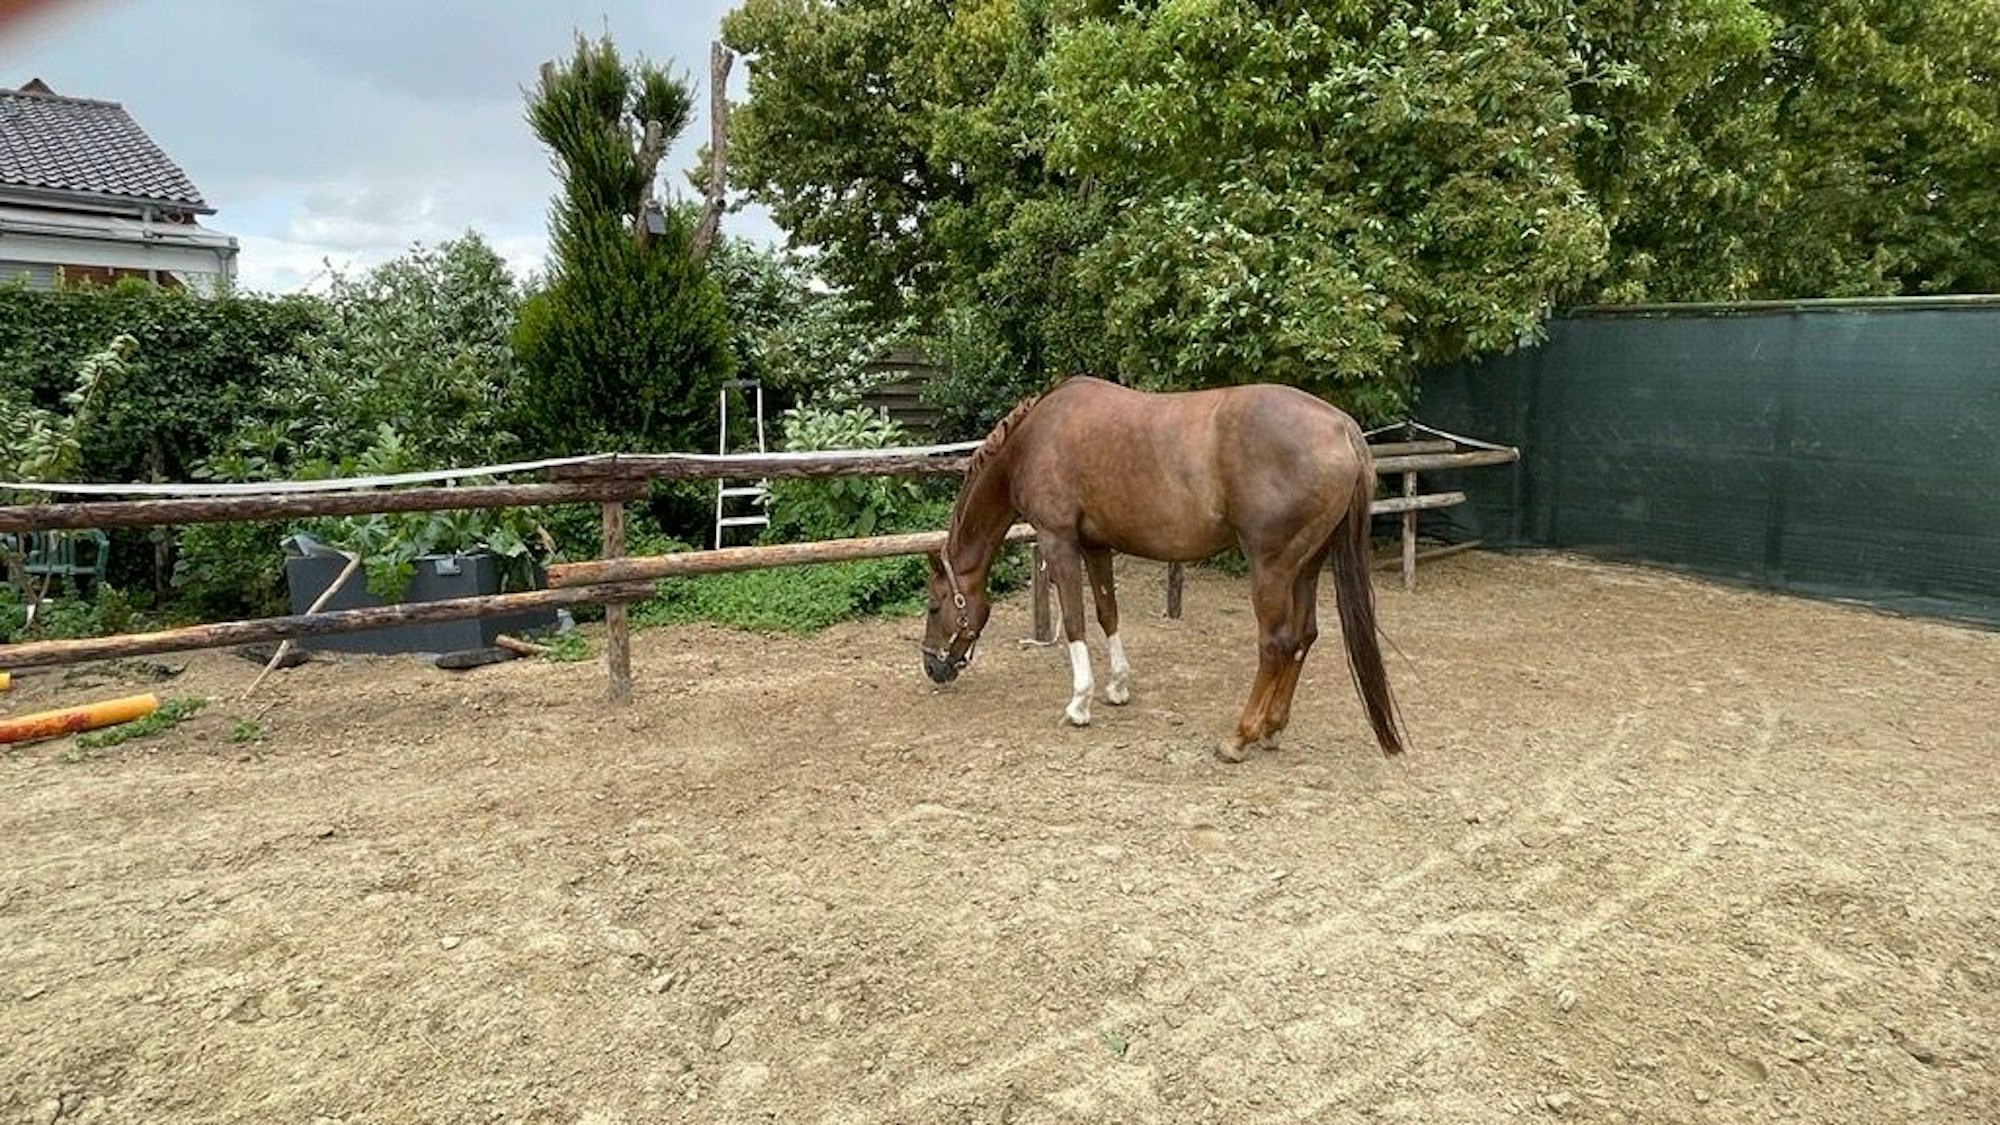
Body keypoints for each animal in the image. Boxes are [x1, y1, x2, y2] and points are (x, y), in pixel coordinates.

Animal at [921, 375, 1405, 762]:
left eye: (933, 606)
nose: (932, 667)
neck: (1035, 438)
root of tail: (1342, 428)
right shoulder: (1096, 546)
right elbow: (1107, 613)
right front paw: (1117, 687)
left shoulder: (1058, 541)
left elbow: (1076, 621)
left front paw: (1079, 703)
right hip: (1307, 567)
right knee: (1304, 638)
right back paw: (1272, 729)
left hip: (1272, 567)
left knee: (1276, 644)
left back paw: (1239, 737)